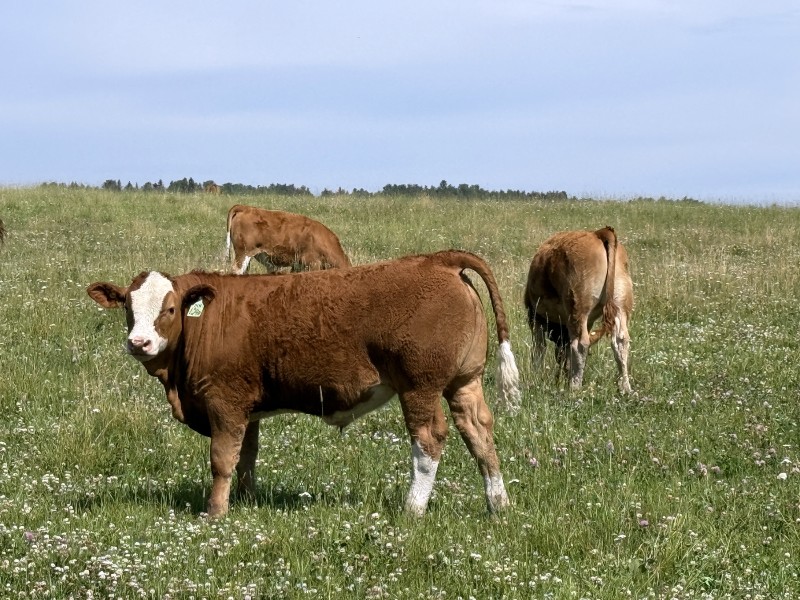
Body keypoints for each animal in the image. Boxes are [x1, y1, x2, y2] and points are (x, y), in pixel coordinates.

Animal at [87, 250, 521, 518]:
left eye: (171, 308)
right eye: (128, 308)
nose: (139, 343)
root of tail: (439, 259)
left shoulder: (225, 402)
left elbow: (222, 460)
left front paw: (216, 512)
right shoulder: (249, 410)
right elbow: (246, 458)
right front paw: (246, 501)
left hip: (420, 388)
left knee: (429, 440)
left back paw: (412, 510)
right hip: (464, 382)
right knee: (479, 433)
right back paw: (498, 504)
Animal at [523, 226, 633, 393]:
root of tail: (598, 233)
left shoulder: (535, 317)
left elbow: (539, 349)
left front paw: (535, 377)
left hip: (577, 307)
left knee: (580, 344)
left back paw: (574, 388)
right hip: (619, 305)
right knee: (621, 341)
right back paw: (625, 388)